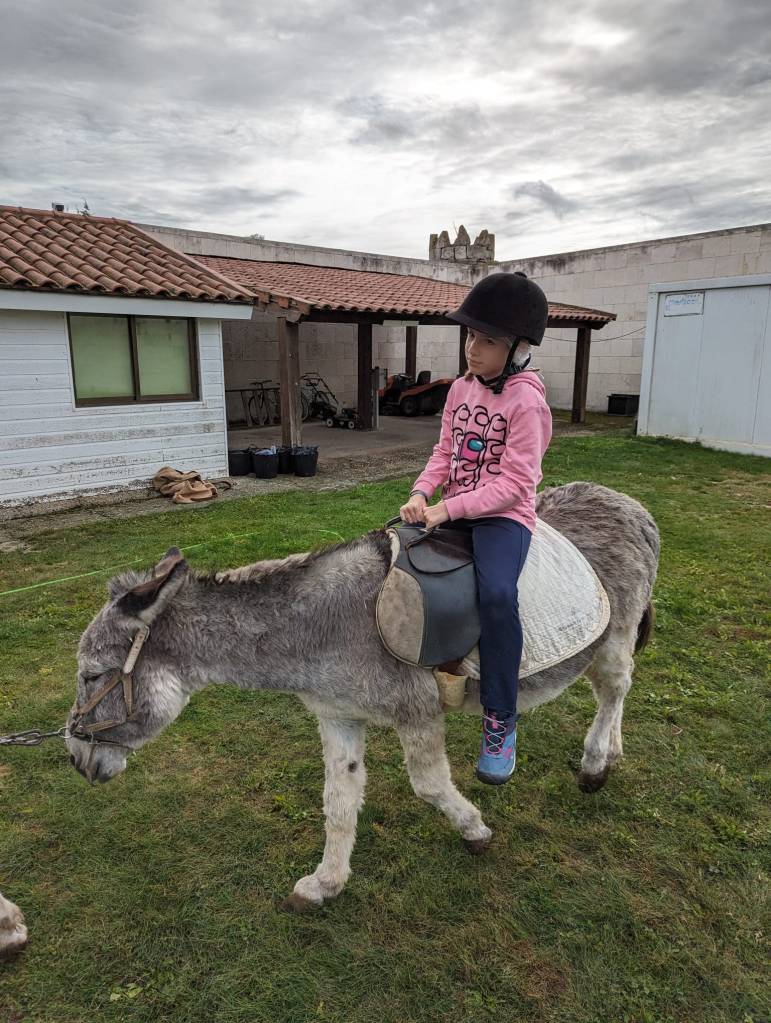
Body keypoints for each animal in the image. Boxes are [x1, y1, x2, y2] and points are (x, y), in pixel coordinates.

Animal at [66, 482, 659, 911]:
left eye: (92, 675)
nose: (75, 759)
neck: (330, 623)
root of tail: (628, 503)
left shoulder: (418, 713)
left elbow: (429, 785)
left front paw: (475, 830)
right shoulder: (338, 716)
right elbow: (339, 800)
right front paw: (325, 884)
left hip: (614, 633)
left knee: (617, 686)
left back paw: (596, 764)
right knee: (615, 689)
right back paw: (613, 749)